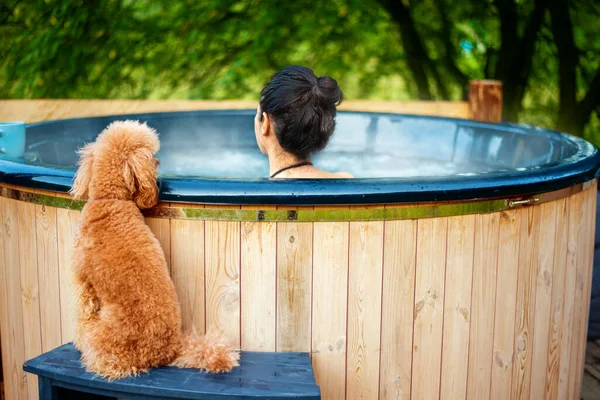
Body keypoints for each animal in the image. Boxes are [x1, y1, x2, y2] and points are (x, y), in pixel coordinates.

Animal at [70, 120, 239, 380]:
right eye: (151, 155)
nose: (159, 163)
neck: (110, 200)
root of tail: (170, 350)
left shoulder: (84, 283)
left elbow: (82, 313)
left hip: (102, 339)